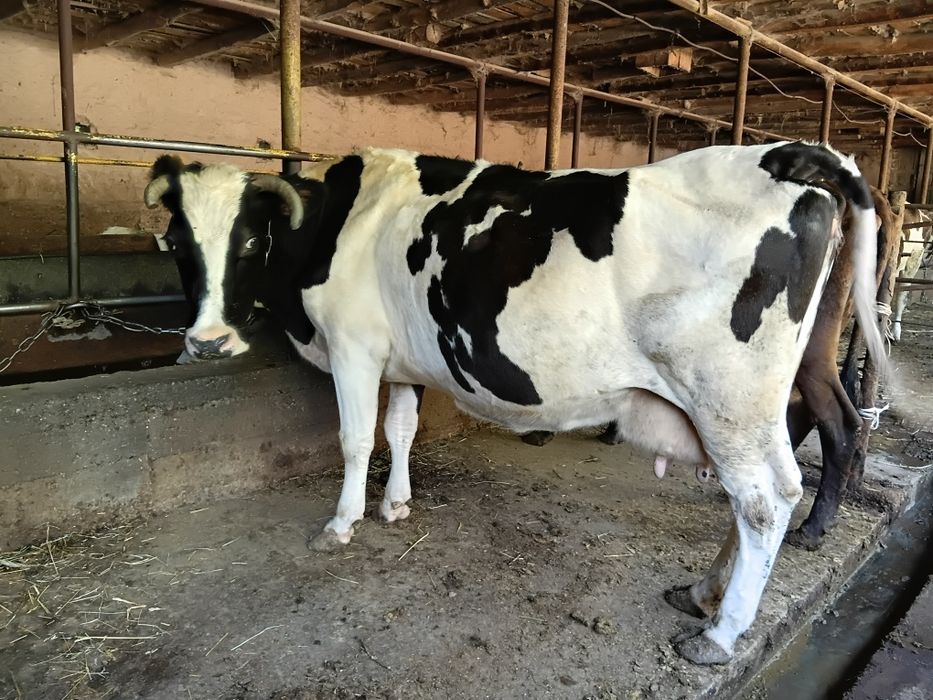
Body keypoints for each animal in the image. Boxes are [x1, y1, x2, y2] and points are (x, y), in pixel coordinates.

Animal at [144, 142, 885, 665]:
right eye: (177, 244)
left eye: (249, 241)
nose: (206, 342)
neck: (338, 222)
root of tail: (788, 154)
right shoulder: (403, 357)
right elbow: (401, 427)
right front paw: (396, 505)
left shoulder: (354, 347)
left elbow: (356, 439)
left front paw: (342, 523)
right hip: (756, 403)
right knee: (763, 488)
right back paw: (701, 593)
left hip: (729, 397)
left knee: (764, 500)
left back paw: (721, 633)